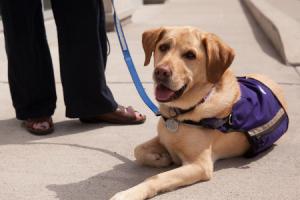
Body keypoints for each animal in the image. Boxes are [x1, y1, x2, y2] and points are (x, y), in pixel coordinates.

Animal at [110, 26, 288, 200]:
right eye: (163, 47)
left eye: (190, 55)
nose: (161, 71)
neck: (179, 114)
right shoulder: (163, 138)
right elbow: (138, 149)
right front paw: (159, 158)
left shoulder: (200, 165)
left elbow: (157, 178)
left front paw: (129, 193)